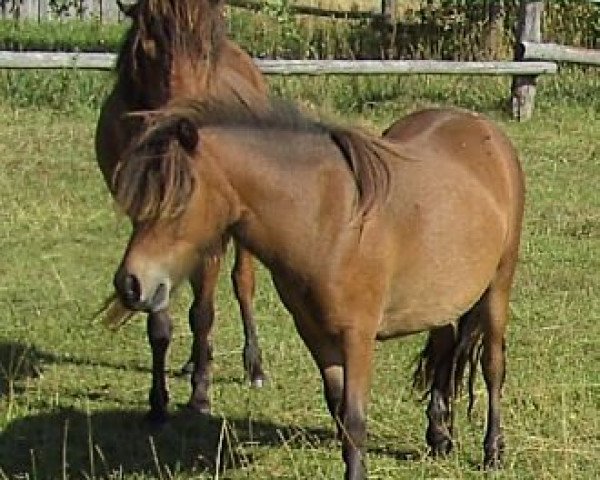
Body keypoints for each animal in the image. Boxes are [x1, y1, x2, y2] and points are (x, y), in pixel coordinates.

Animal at [95, 0, 268, 420]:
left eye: (205, 52)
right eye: (149, 49)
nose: (186, 125)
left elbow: (203, 313)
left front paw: (201, 396)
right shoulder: (148, 227)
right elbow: (159, 318)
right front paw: (158, 402)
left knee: (242, 284)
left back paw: (253, 366)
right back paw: (192, 361)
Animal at [110, 99, 524, 478]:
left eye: (177, 199)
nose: (130, 283)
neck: (327, 218)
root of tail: (483, 128)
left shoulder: (358, 335)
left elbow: (354, 417)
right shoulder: (314, 332)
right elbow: (338, 408)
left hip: (498, 286)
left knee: (493, 366)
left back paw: (493, 452)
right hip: (440, 300)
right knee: (443, 350)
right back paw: (440, 437)